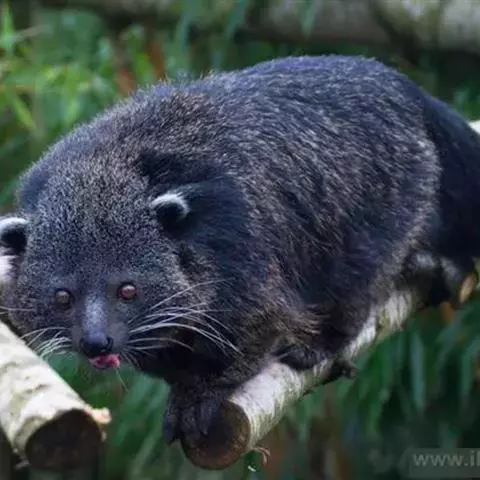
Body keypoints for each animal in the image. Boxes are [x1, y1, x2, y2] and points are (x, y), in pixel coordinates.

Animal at [0, 55, 479, 444]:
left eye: (128, 290)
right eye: (63, 297)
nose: (97, 342)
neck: (105, 170)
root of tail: (403, 87)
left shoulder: (241, 243)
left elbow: (256, 327)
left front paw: (203, 390)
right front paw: (179, 378)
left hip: (380, 204)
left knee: (358, 278)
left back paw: (326, 340)